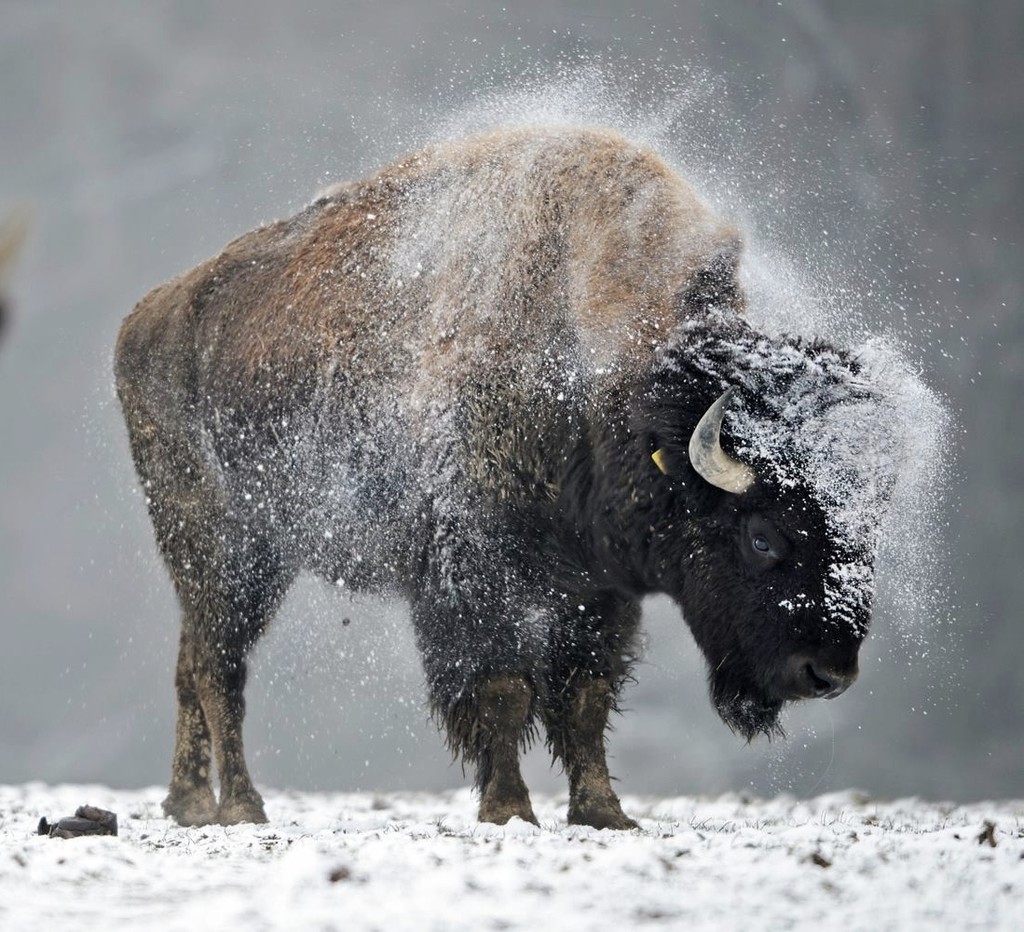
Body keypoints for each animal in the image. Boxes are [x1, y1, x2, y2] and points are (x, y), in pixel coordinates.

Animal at [116, 123, 909, 831]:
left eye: (868, 531)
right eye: (763, 537)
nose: (828, 674)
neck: (604, 383)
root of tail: (147, 316)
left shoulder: (598, 593)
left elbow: (583, 700)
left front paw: (605, 814)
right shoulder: (474, 581)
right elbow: (502, 690)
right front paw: (508, 809)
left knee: (191, 667)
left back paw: (188, 805)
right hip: (227, 552)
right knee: (220, 672)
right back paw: (241, 809)